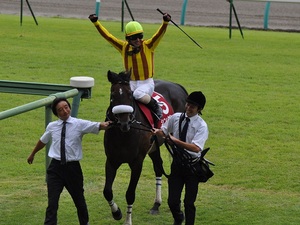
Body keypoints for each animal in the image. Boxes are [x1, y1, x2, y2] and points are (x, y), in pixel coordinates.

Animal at [103, 69, 188, 224]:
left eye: (129, 94)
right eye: (113, 95)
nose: (124, 122)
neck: (124, 134)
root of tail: (177, 86)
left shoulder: (137, 163)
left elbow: (130, 193)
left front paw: (128, 220)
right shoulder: (111, 160)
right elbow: (107, 191)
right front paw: (116, 212)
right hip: (154, 146)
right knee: (158, 167)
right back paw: (156, 204)